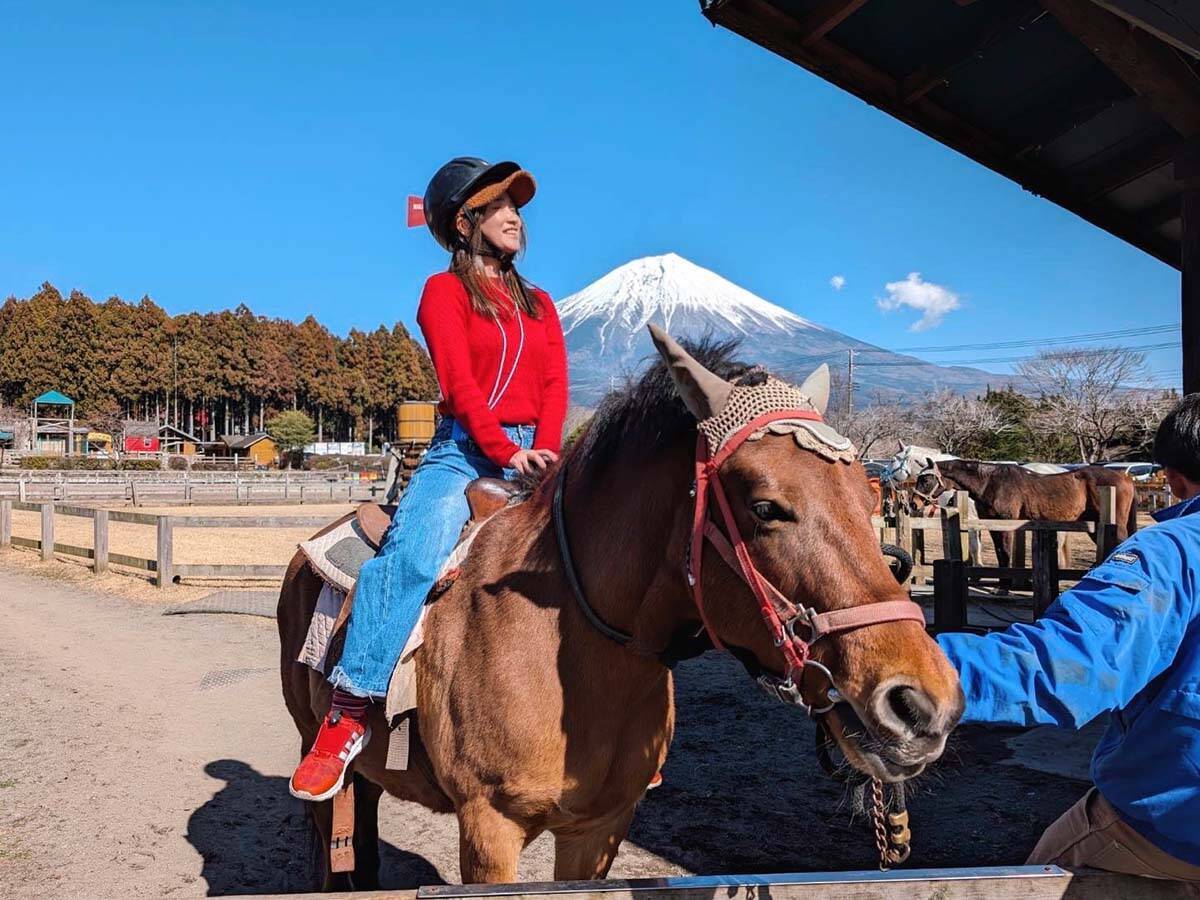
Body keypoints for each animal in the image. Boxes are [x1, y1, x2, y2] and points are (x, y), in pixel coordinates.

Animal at [276, 328, 960, 888]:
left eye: (871, 495)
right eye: (765, 507)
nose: (924, 703)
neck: (577, 652)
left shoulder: (599, 828)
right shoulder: (489, 829)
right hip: (316, 744)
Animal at [912, 458, 1137, 571]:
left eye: (926, 480)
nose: (914, 503)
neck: (990, 483)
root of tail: (1124, 477)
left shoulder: (1006, 524)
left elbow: (1005, 553)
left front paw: (1003, 588)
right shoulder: (992, 525)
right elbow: (1000, 554)